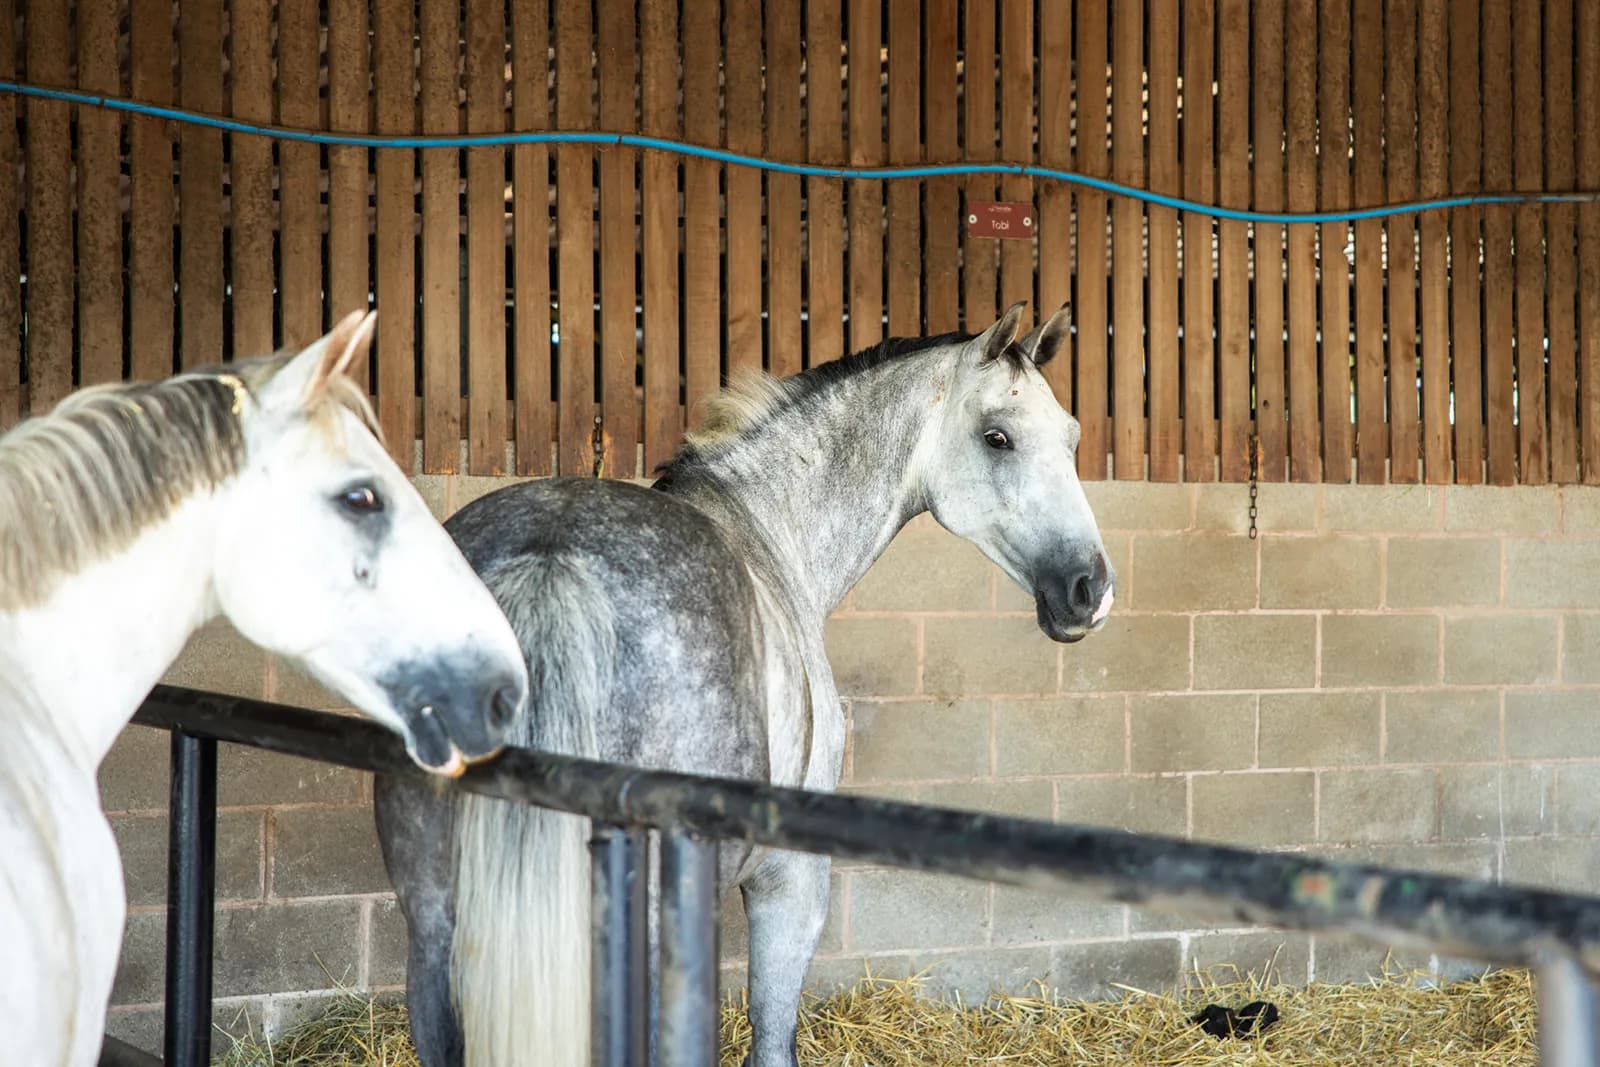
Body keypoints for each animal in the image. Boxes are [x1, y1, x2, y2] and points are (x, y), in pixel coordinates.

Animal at [373, 301, 1115, 1067]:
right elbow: (772, 1032)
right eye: (997, 437)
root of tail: (549, 560)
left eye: (1072, 438)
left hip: (432, 931)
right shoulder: (789, 881)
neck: (768, 529)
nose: (1090, 591)